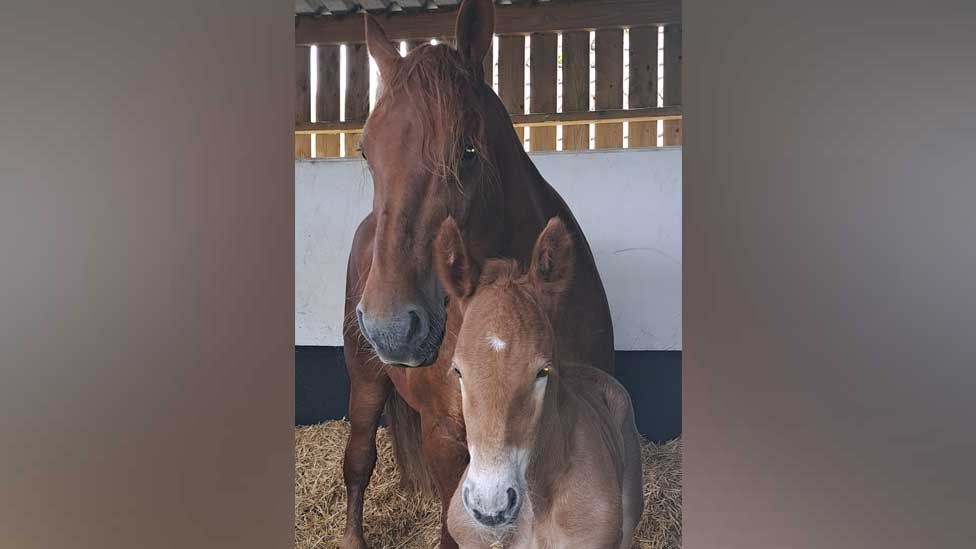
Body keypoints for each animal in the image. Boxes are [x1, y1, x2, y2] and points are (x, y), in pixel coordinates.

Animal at [344, 2, 612, 544]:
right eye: (365, 151)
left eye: (467, 151)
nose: (390, 327)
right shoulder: (447, 437)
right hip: (364, 380)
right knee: (359, 460)